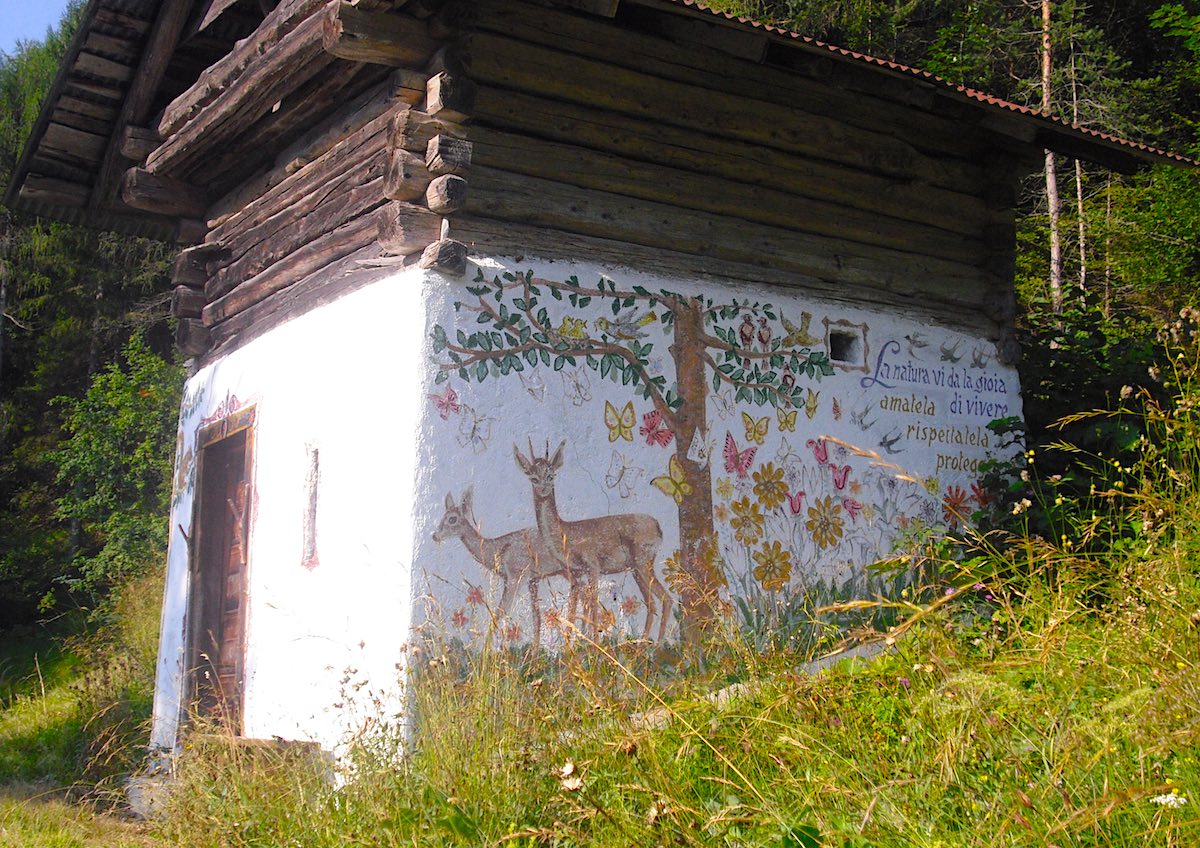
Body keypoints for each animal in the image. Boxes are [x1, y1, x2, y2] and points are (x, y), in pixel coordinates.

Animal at [429, 486, 564, 647]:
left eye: (452, 518)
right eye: (443, 517)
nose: (435, 536)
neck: (497, 549)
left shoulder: (515, 577)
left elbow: (500, 612)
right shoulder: (532, 580)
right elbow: (535, 618)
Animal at [511, 441, 672, 638]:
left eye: (551, 474)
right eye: (532, 477)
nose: (543, 489)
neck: (567, 534)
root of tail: (657, 526)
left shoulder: (593, 568)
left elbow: (593, 606)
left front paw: (594, 642)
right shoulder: (576, 574)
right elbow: (576, 609)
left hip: (642, 565)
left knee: (664, 599)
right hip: (637, 569)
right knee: (654, 602)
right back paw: (644, 642)